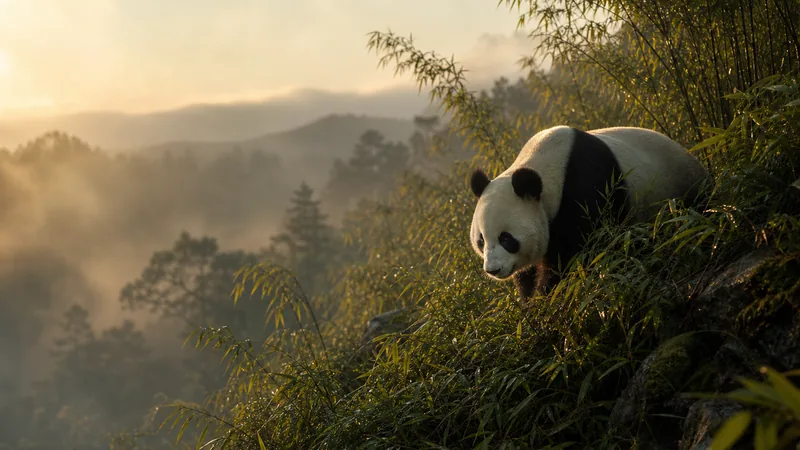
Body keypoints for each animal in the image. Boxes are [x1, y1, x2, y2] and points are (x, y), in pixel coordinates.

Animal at [469, 125, 712, 299]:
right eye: (481, 241)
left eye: (506, 239)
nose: (493, 269)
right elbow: (527, 271)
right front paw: (530, 299)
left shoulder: (586, 189)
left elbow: (577, 254)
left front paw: (548, 294)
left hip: (681, 189)